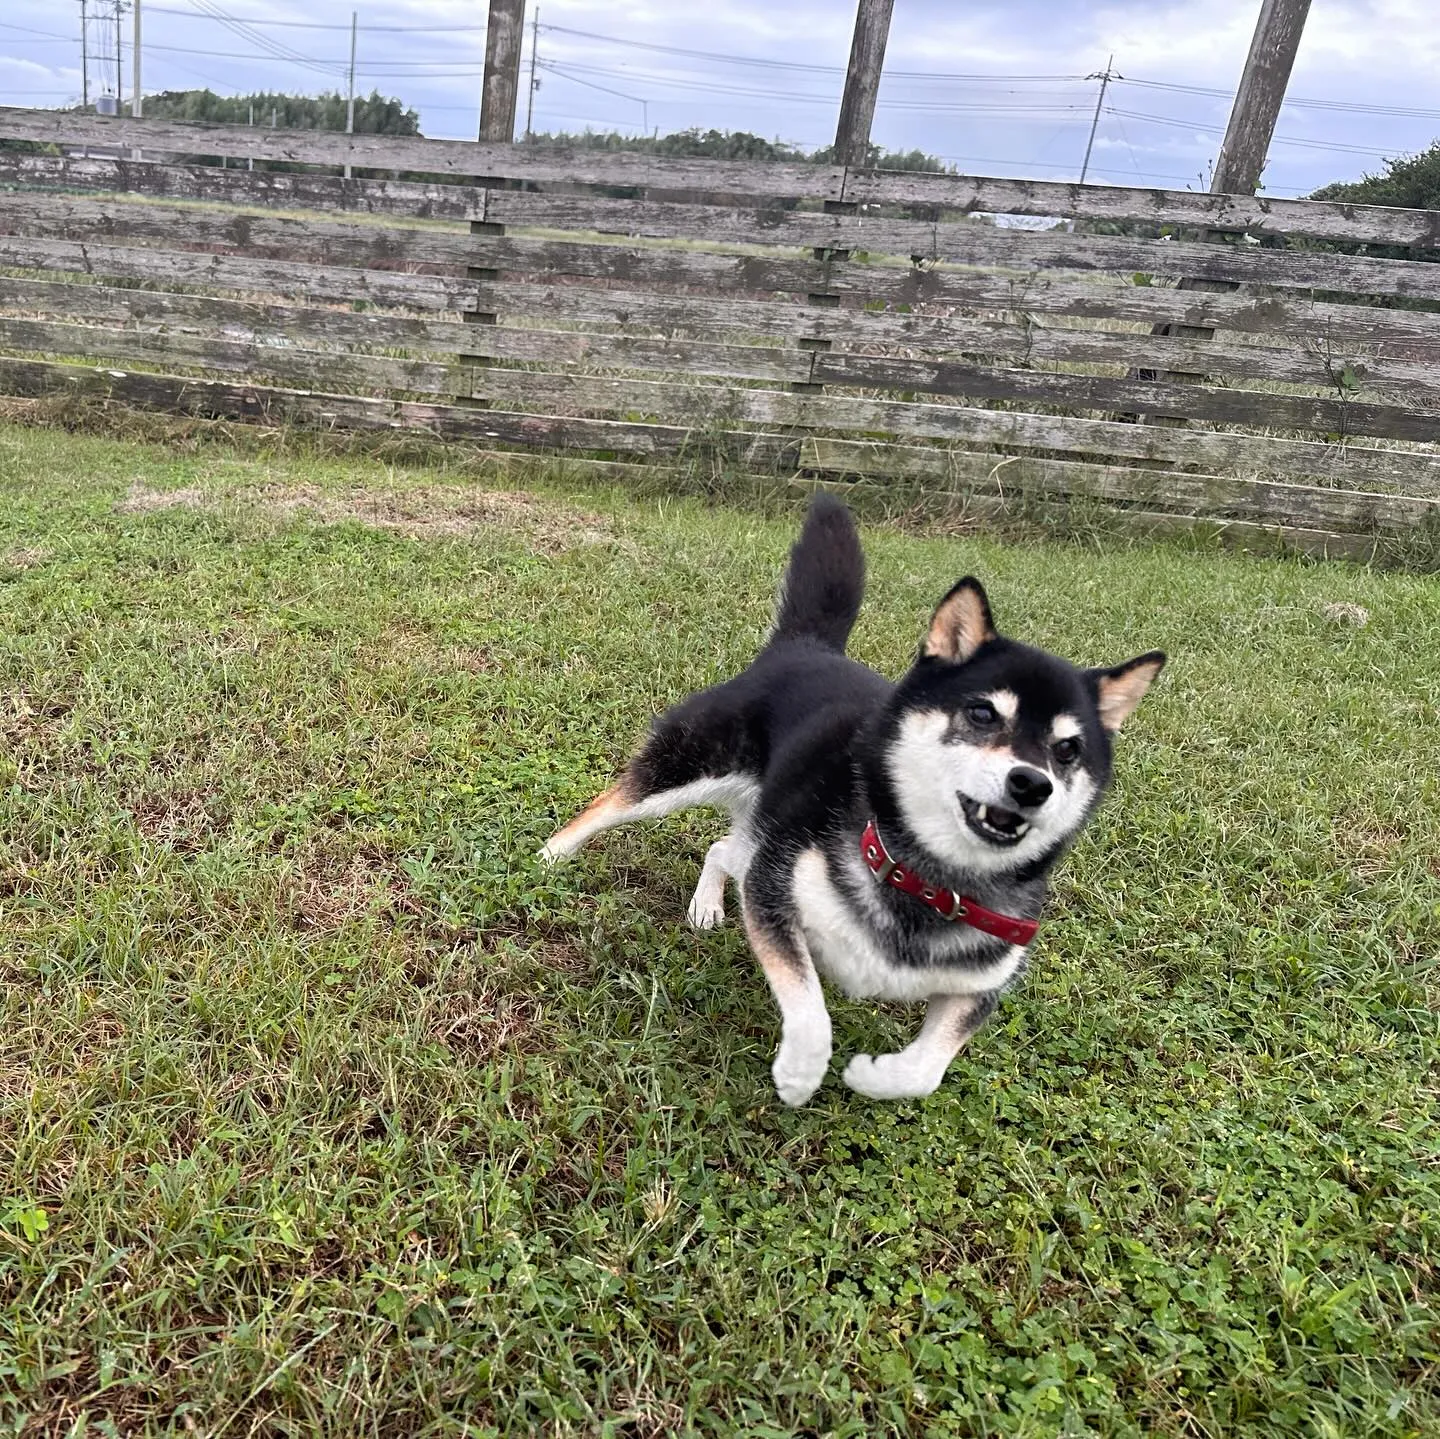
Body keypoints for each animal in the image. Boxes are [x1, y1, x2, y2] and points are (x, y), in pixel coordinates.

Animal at [544, 501, 1163, 1106]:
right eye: (984, 713)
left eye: (1068, 749)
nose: (1033, 784)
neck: (928, 880)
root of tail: (807, 647)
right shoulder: (774, 894)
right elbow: (809, 1005)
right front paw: (800, 1073)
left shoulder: (978, 984)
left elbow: (925, 1071)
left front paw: (873, 1077)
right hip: (691, 767)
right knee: (610, 804)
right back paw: (551, 855)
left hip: (765, 819)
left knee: (723, 847)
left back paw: (706, 906)